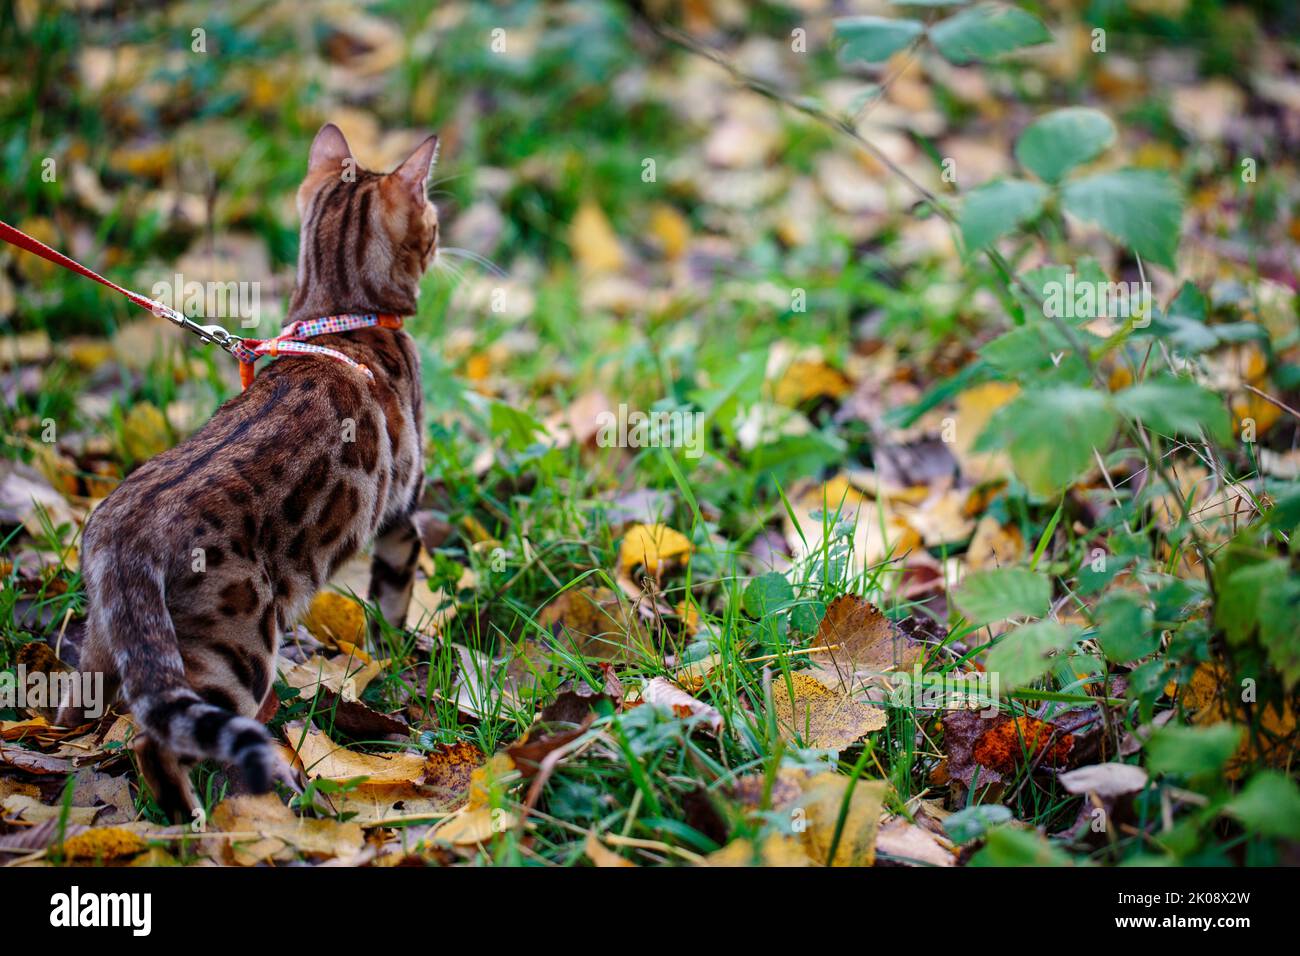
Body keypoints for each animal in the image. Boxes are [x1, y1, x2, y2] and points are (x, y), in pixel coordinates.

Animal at [58, 123, 441, 816]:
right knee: (155, 740)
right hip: (234, 650)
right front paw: (392, 664)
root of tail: (120, 537)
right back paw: (197, 817)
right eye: (431, 219)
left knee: (90, 708)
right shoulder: (403, 515)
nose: (439, 236)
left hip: (111, 639)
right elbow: (390, 605)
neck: (340, 315)